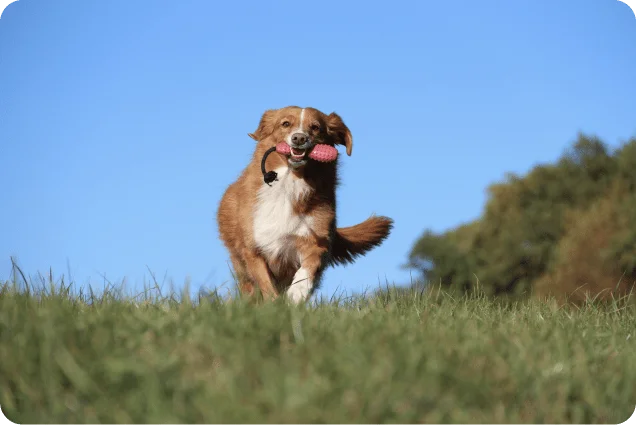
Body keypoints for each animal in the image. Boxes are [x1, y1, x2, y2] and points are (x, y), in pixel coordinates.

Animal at [216, 105, 392, 302]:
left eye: (315, 127)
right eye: (285, 123)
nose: (299, 138)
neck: (290, 182)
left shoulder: (316, 240)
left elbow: (307, 271)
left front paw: (296, 295)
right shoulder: (254, 247)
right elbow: (266, 285)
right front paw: (275, 305)